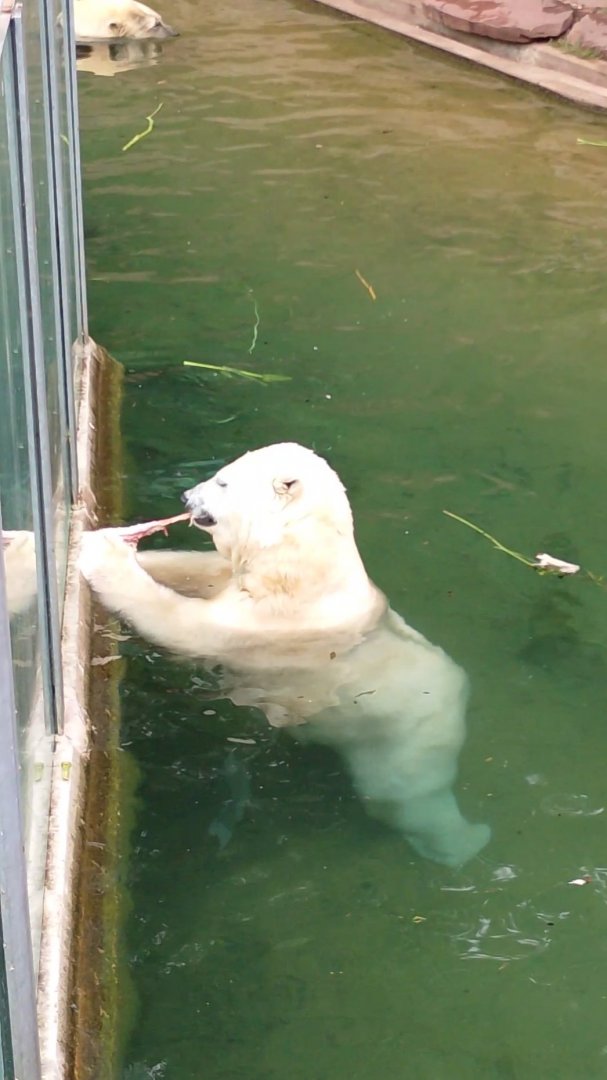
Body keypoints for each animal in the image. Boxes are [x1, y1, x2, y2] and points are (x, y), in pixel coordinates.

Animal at [79, 443, 490, 867]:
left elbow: (186, 624)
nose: (186, 496)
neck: (304, 566)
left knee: (404, 794)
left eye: (222, 482)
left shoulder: (271, 624)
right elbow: (205, 570)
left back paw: (458, 842)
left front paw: (101, 553)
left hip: (402, 735)